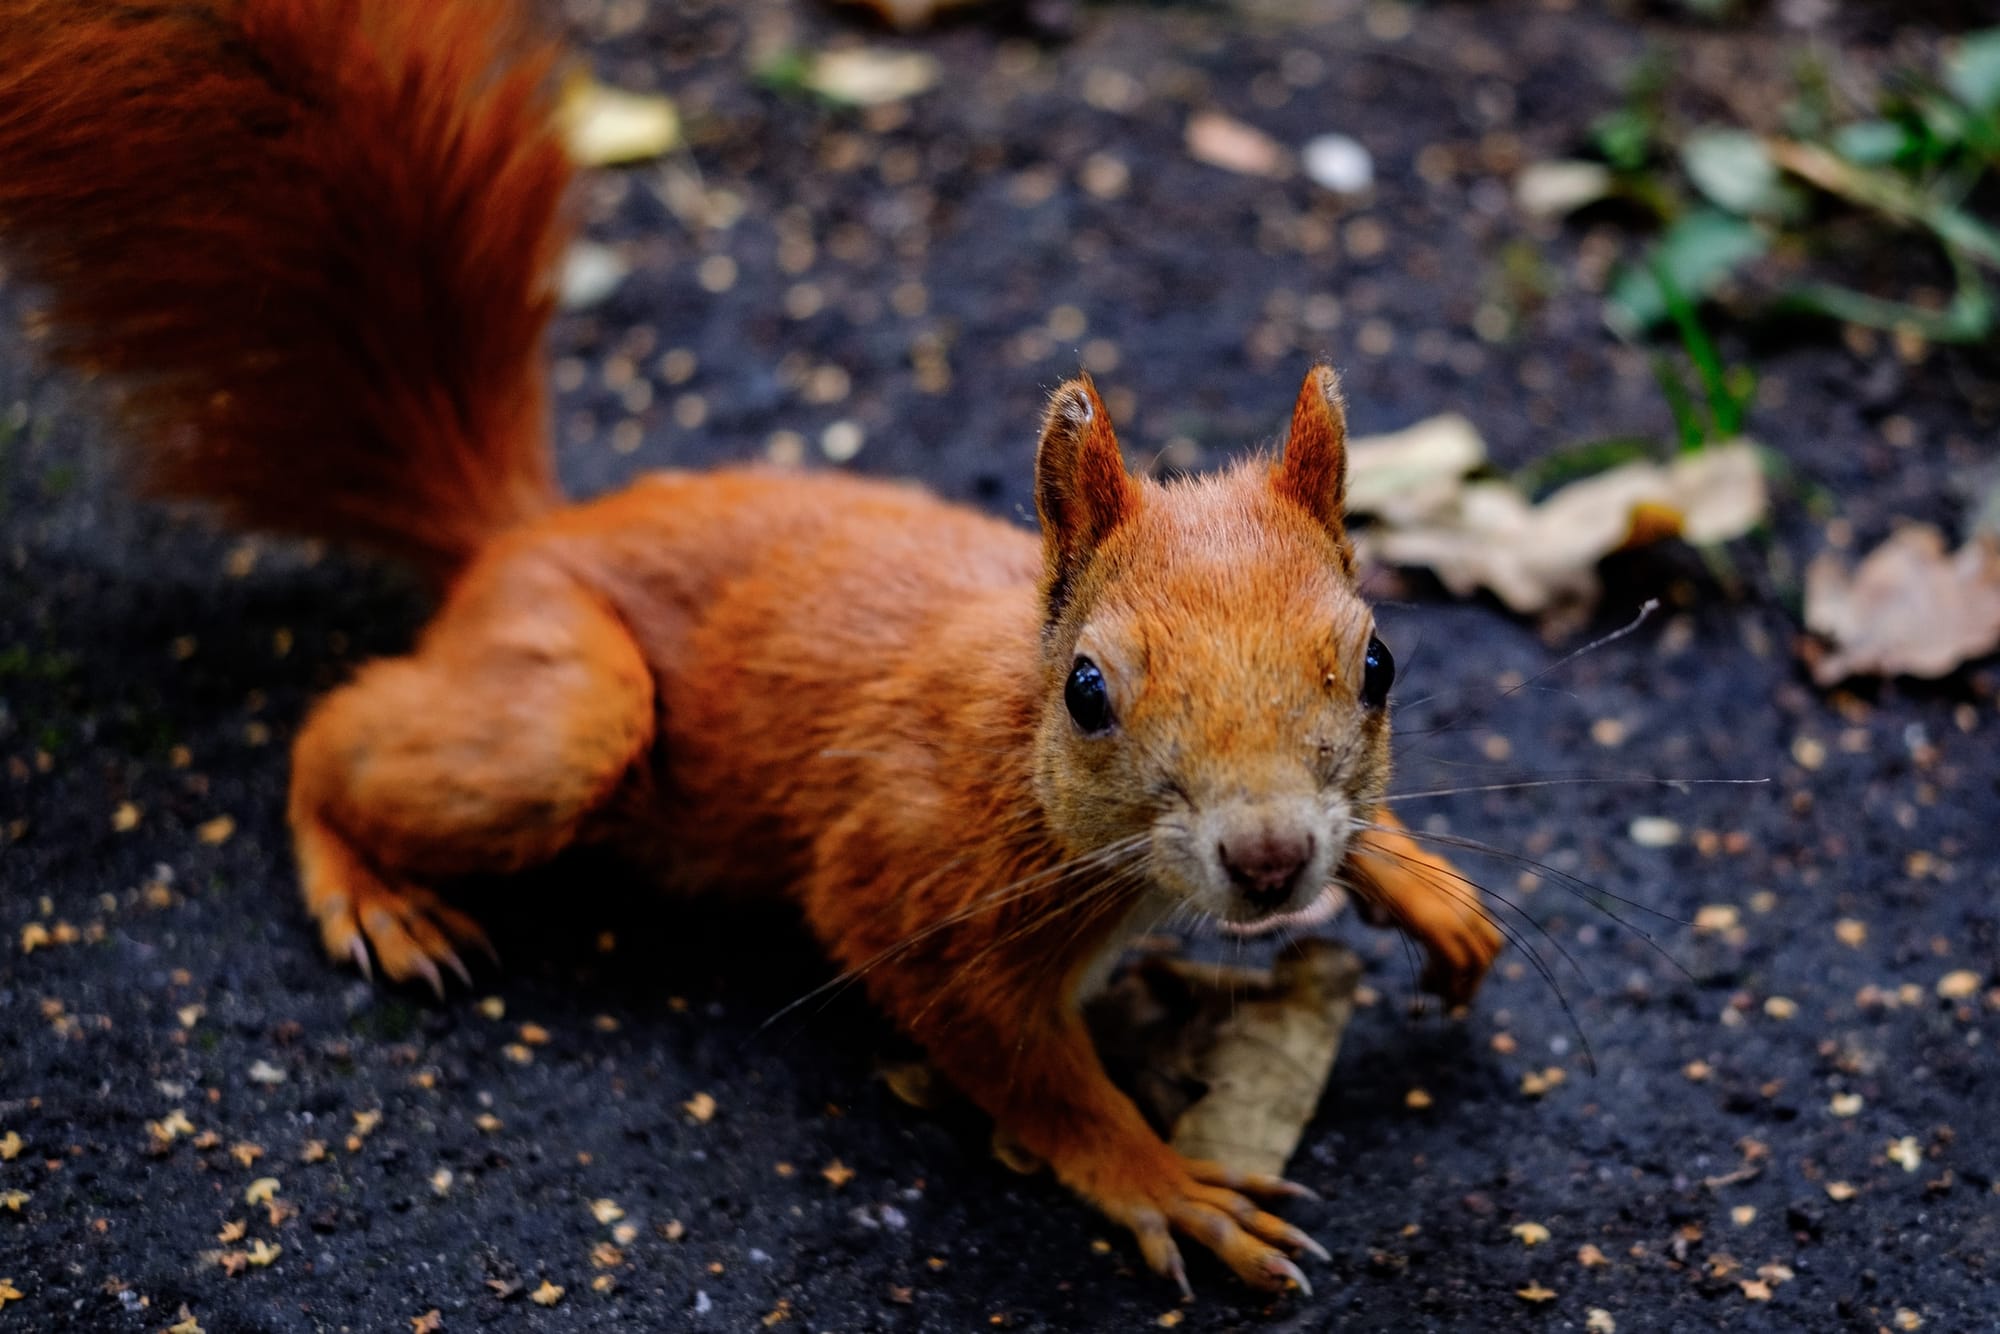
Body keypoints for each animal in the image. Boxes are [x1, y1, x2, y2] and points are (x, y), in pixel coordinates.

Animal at [0, 0, 1504, 1296]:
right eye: (1087, 692)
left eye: (1380, 663)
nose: (1271, 858)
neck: (1022, 772)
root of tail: (518, 533)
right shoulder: (899, 883)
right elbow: (1026, 1073)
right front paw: (1163, 1178)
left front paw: (1419, 881)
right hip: (565, 719)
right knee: (329, 734)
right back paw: (368, 890)